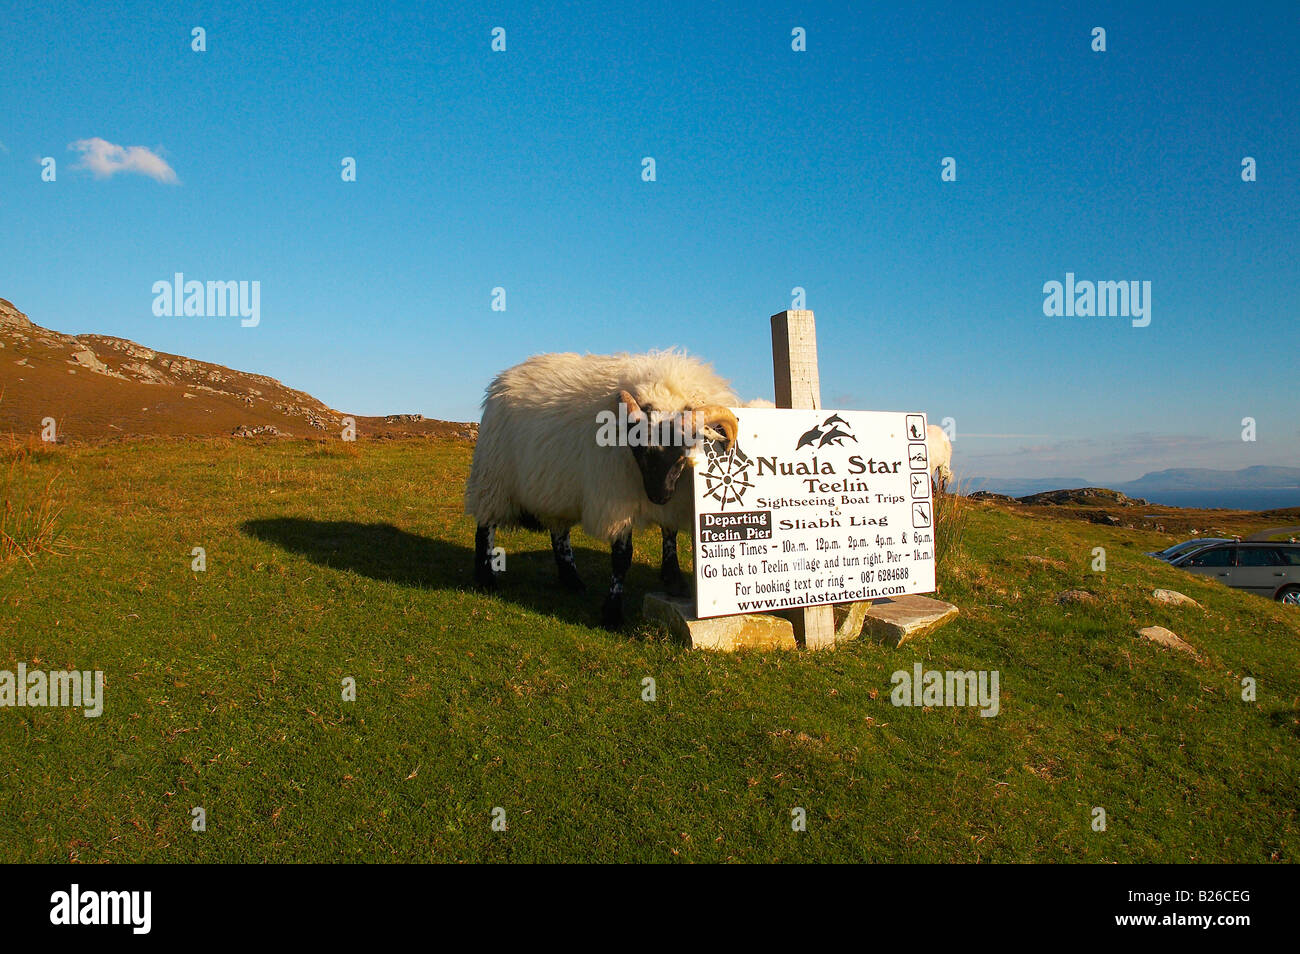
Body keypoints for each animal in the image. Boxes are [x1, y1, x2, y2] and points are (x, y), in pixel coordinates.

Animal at [462, 350, 738, 629]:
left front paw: (674, 582)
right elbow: (622, 557)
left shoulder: (673, 500)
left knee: (559, 533)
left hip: (554, 487)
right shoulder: (615, 500)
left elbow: (669, 535)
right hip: (493, 477)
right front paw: (612, 613)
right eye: (638, 449)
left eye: (684, 447)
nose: (658, 496)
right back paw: (486, 579)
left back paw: (572, 580)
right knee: (485, 526)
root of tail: (502, 381)